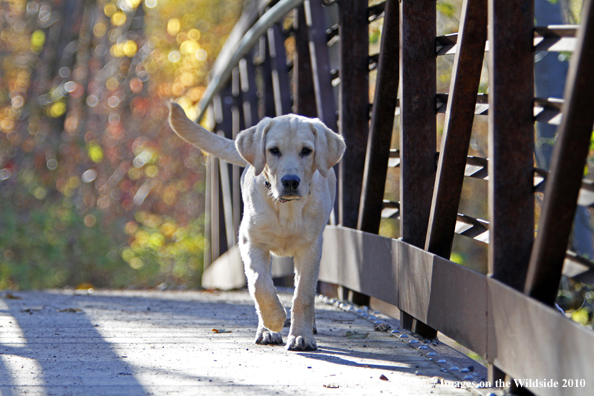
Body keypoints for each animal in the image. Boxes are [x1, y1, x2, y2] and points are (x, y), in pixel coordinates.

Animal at [168, 102, 342, 350]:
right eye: (274, 150)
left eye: (306, 151)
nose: (290, 181)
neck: (286, 208)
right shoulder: (251, 242)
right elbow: (260, 285)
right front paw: (274, 321)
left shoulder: (310, 247)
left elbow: (303, 294)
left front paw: (301, 336)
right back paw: (267, 330)